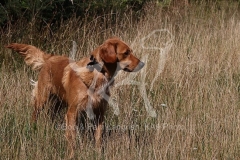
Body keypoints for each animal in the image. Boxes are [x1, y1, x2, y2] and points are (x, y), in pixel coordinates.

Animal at [5, 37, 144, 159]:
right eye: (126, 53)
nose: (143, 63)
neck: (97, 73)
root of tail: (50, 57)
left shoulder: (99, 113)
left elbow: (98, 138)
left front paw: (98, 154)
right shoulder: (72, 112)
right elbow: (72, 139)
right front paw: (71, 155)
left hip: (58, 103)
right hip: (42, 99)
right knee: (35, 114)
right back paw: (32, 129)